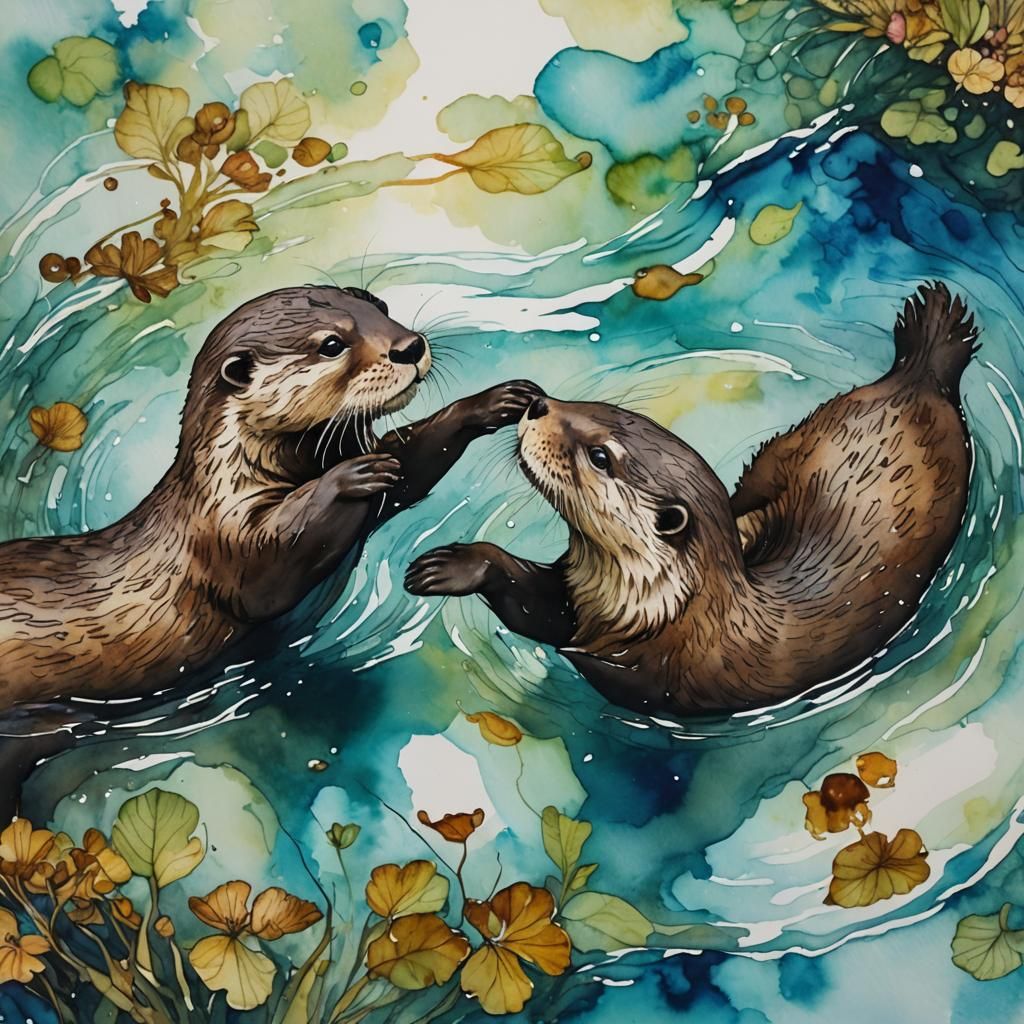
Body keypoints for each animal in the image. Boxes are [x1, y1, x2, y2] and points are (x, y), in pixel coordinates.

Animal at [0, 285, 540, 805]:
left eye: (379, 306)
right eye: (332, 344)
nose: (409, 346)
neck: (236, 473)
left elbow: (410, 464)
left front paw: (494, 401)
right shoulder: (225, 536)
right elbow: (270, 574)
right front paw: (347, 478)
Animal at [406, 283, 977, 716]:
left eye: (600, 455)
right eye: (600, 406)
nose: (540, 404)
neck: (666, 613)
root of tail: (920, 379)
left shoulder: (653, 668)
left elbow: (566, 643)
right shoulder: (576, 594)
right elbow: (532, 600)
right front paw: (454, 564)